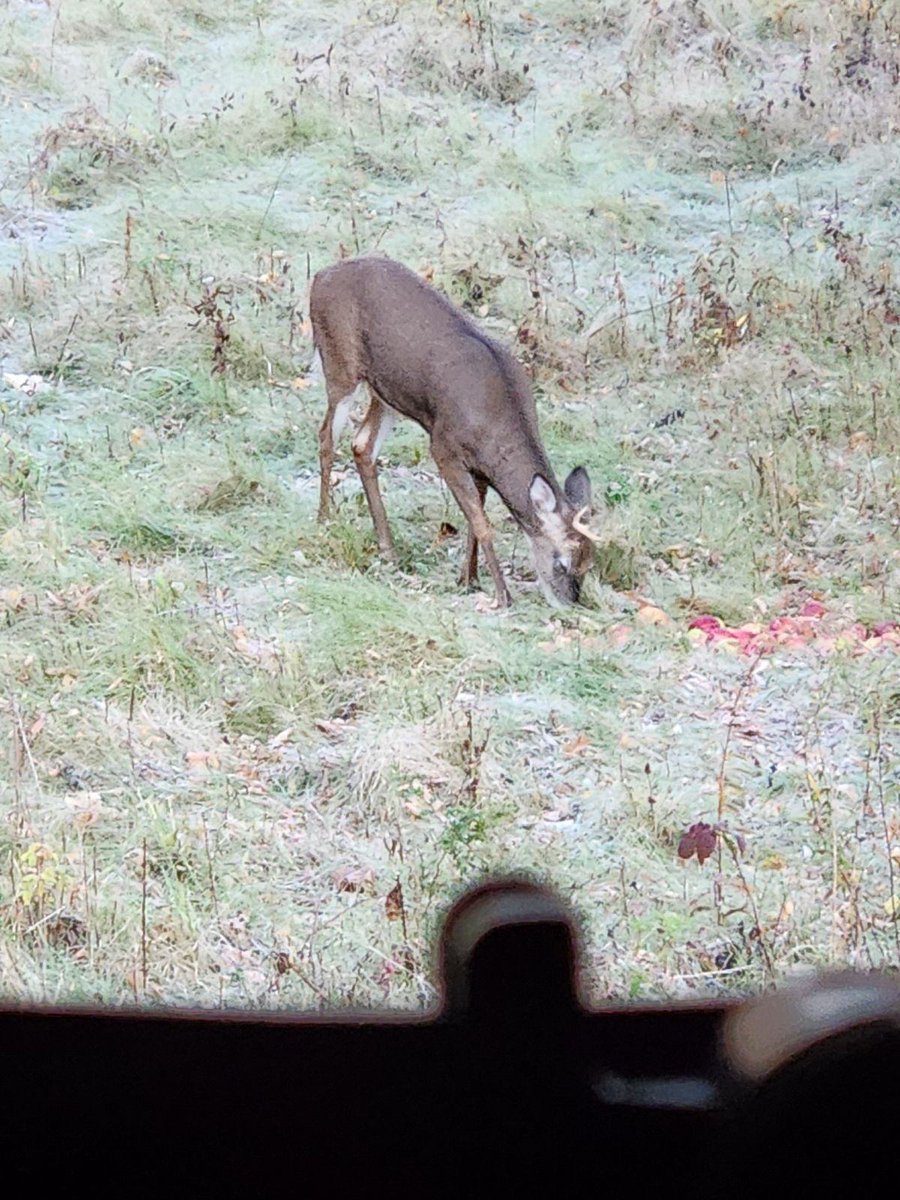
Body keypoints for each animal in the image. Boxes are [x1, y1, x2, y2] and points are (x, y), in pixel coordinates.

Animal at [310, 256, 599, 607]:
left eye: (589, 561)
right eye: (561, 562)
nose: (569, 603)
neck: (496, 423)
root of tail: (320, 276)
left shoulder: (481, 469)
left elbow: (475, 520)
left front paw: (469, 578)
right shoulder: (444, 446)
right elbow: (482, 523)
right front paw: (503, 595)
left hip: (388, 394)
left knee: (362, 445)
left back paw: (388, 548)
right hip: (339, 364)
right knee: (326, 436)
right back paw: (325, 519)